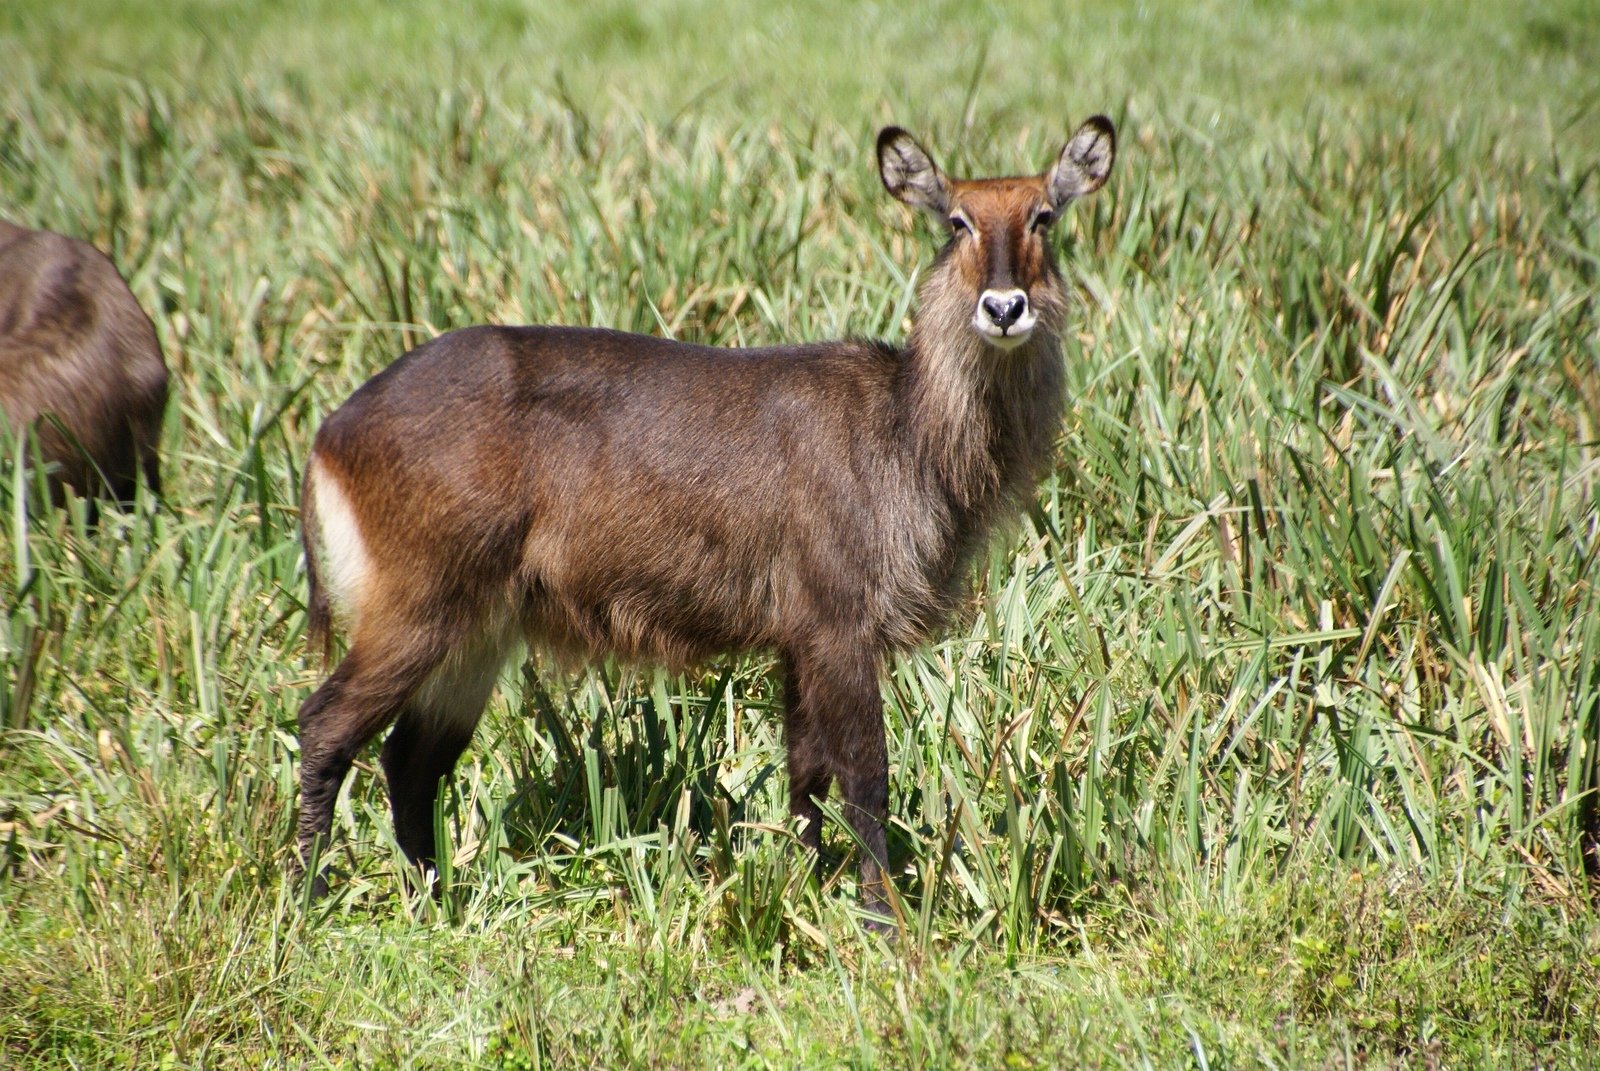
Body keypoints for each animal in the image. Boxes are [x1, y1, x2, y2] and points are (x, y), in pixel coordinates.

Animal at [300, 119, 1120, 922]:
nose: (1004, 307)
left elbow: (805, 774)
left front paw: (804, 887)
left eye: (1044, 216)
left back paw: (435, 901)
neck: (905, 431)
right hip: (418, 608)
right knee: (323, 725)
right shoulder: (840, 623)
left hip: (479, 630)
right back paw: (309, 901)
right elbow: (866, 778)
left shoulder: (799, 638)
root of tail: (331, 429)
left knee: (410, 761)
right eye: (956, 220)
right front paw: (882, 919)